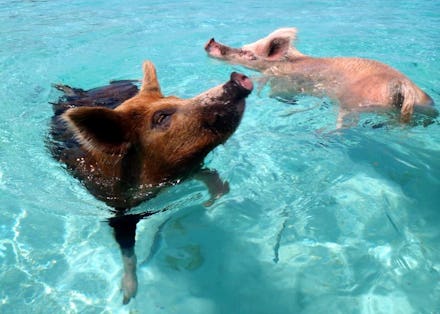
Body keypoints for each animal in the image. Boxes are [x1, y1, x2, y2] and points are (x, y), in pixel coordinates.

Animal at [48, 60, 253, 304]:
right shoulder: (118, 210)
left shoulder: (188, 169)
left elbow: (210, 176)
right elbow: (127, 250)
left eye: (177, 98)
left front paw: (213, 201)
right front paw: (128, 297)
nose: (238, 78)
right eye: (162, 117)